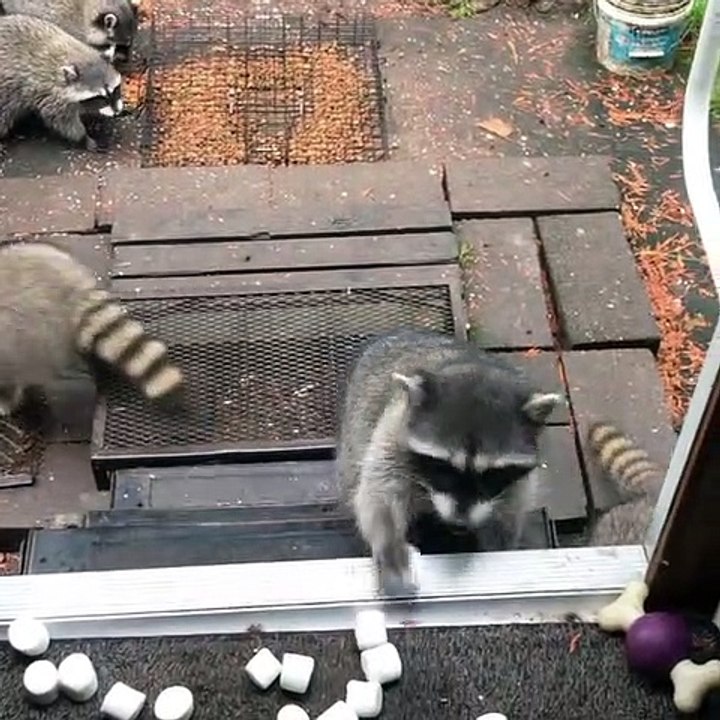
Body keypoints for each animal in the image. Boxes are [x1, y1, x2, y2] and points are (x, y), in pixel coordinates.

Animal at [0, 15, 123, 150]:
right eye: (99, 97)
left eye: (115, 89)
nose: (117, 112)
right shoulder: (49, 92)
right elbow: (62, 120)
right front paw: (83, 137)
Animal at [337, 330, 563, 587]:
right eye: (443, 467)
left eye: (491, 475)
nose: (459, 523)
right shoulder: (395, 429)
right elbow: (380, 491)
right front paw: (390, 542)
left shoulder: (518, 480)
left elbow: (510, 509)